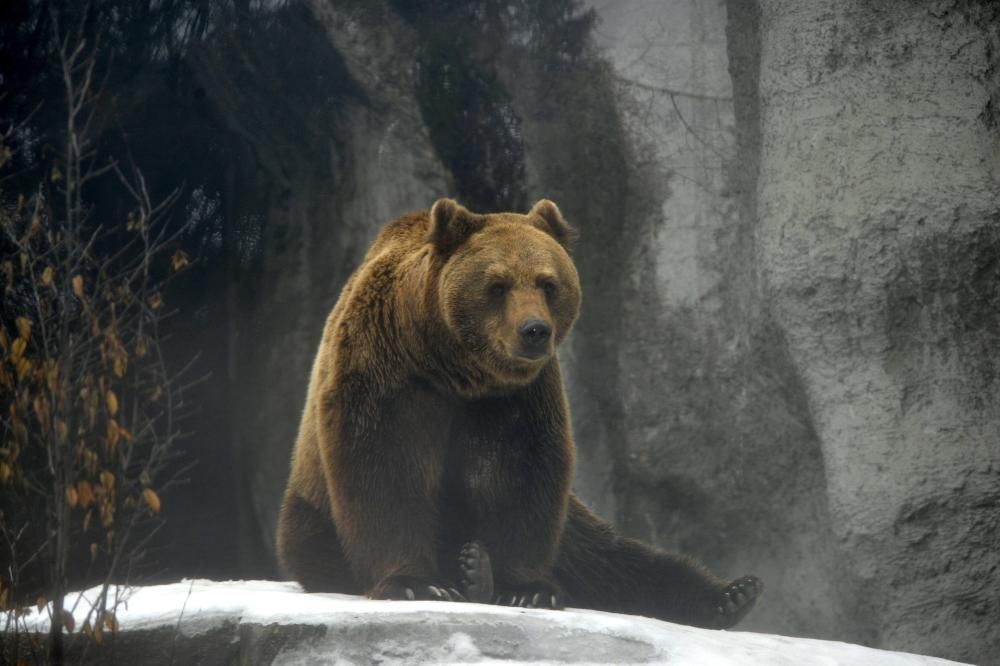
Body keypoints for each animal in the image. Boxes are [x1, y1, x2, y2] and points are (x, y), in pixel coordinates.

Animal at [274, 197, 756, 628]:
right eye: (498, 284)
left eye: (548, 283)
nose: (534, 331)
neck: (453, 367)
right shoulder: (389, 374)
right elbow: (386, 469)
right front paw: (416, 583)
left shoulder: (518, 398)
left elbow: (521, 479)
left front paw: (522, 587)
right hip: (311, 514)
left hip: (573, 525)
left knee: (612, 558)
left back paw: (732, 594)